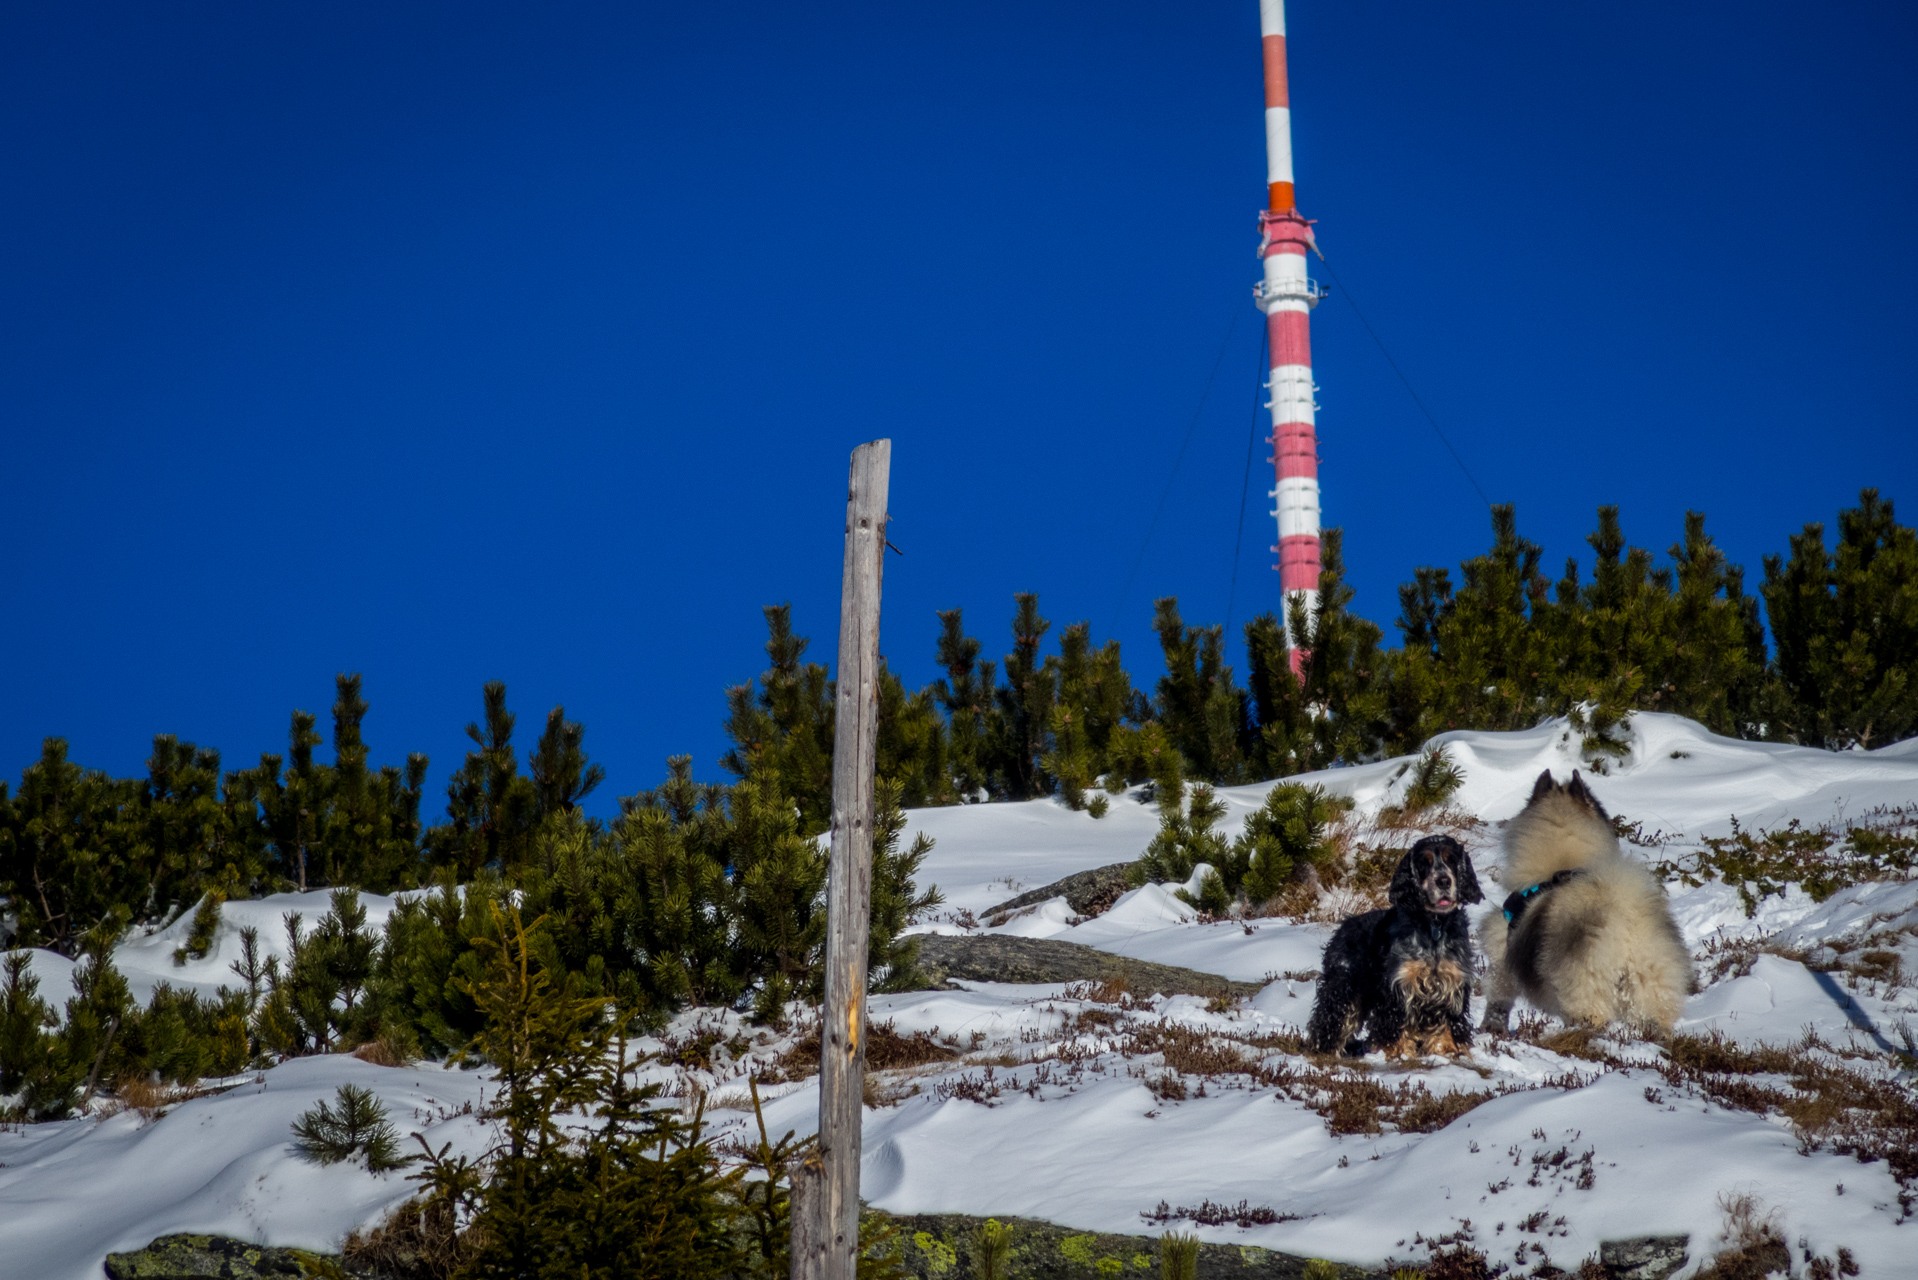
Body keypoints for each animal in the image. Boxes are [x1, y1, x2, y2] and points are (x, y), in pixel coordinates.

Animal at [1304, 836, 1480, 1059]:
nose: (1443, 881)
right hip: (1343, 986)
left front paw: (1447, 1051)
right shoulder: (1399, 985)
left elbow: (1448, 1024)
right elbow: (1395, 1024)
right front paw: (1398, 1053)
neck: (1434, 926)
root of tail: (1345, 924)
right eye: (1424, 863)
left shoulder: (1452, 983)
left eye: (1452, 860)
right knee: (1332, 1021)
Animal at [1480, 771, 1695, 1043]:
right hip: (1649, 982)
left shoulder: (1501, 954)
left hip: (1583, 987)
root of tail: (1626, 914)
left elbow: (1498, 999)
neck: (1560, 864)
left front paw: (1490, 1028)